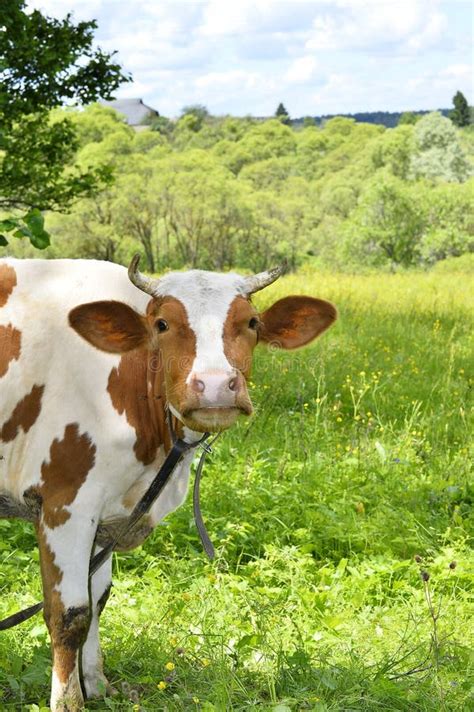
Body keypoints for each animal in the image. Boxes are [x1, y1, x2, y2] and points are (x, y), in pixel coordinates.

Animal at [0, 258, 336, 712]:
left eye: (251, 322)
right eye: (162, 324)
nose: (216, 386)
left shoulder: (110, 512)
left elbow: (97, 598)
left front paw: (98, 686)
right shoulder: (64, 502)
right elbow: (70, 613)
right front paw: (69, 701)